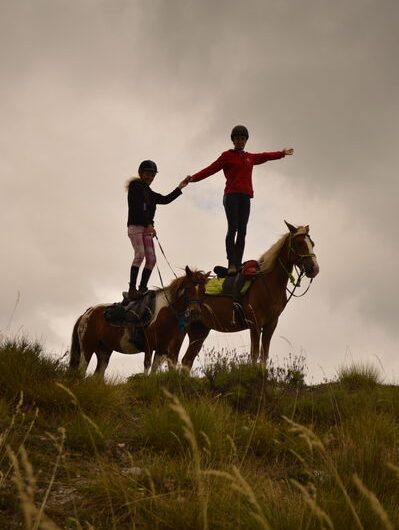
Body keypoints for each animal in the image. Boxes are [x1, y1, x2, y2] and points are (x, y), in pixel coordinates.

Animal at [69, 264, 209, 376]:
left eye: (203, 291)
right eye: (189, 288)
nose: (196, 312)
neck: (166, 313)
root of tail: (86, 314)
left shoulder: (161, 348)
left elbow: (154, 369)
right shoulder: (149, 344)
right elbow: (147, 365)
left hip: (104, 352)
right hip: (87, 348)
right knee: (81, 371)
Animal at [152, 221, 320, 370]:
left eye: (312, 243)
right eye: (298, 243)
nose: (314, 269)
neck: (267, 282)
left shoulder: (271, 324)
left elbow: (264, 355)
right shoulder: (255, 323)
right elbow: (255, 354)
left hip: (199, 330)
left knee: (187, 360)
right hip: (182, 330)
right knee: (173, 357)